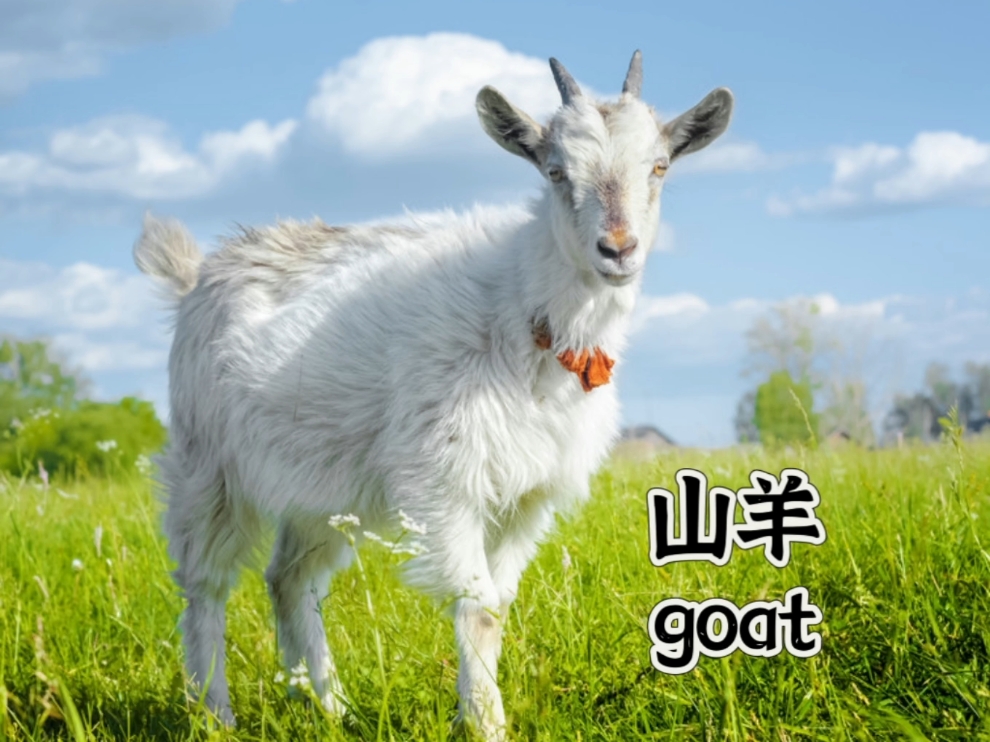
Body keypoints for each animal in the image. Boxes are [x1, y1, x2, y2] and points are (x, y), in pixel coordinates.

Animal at [134, 51, 732, 740]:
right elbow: (478, 608)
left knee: (288, 577)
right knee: (204, 582)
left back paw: (331, 708)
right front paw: (487, 724)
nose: (618, 248)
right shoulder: (446, 477)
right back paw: (217, 714)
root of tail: (195, 277)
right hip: (210, 466)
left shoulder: (527, 495)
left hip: (324, 485)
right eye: (556, 171)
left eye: (659, 166)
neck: (523, 314)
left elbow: (500, 605)